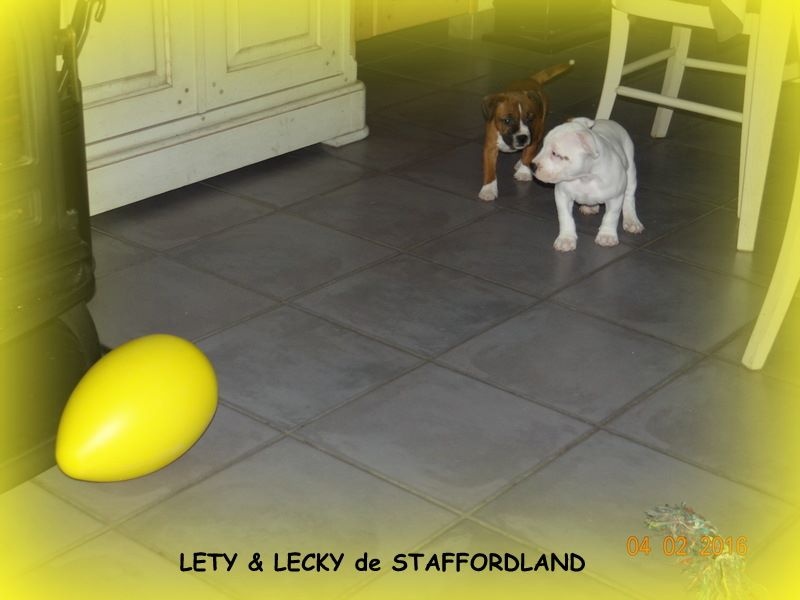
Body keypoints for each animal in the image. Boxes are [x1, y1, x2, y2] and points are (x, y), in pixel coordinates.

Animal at [479, 61, 574, 202]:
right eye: (507, 120)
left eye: (530, 119)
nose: (522, 137)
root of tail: (531, 80)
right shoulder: (490, 148)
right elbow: (490, 170)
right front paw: (488, 189)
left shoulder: (533, 138)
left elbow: (528, 155)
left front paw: (523, 172)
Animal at [532, 117, 644, 252]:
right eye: (543, 146)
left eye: (555, 154)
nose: (532, 166)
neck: (585, 177)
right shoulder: (562, 196)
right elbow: (565, 217)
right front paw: (566, 238)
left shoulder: (615, 198)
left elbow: (611, 216)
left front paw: (607, 236)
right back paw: (590, 207)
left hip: (631, 171)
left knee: (629, 197)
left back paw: (632, 220)